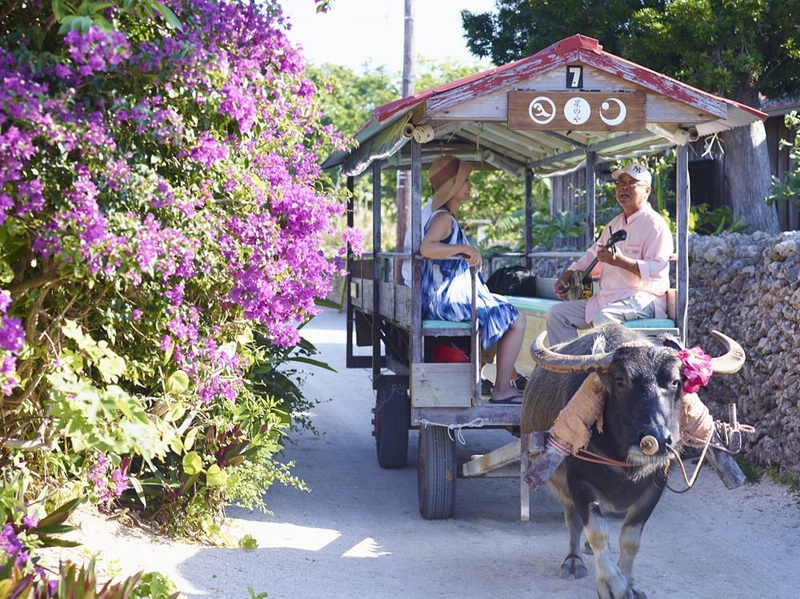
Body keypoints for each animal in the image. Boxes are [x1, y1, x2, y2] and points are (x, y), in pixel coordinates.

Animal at [520, 326, 748, 596]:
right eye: (620, 381)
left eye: (675, 382)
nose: (656, 438)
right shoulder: (578, 482)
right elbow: (597, 531)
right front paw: (613, 585)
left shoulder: (655, 487)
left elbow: (630, 538)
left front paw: (629, 582)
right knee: (572, 519)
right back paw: (574, 560)